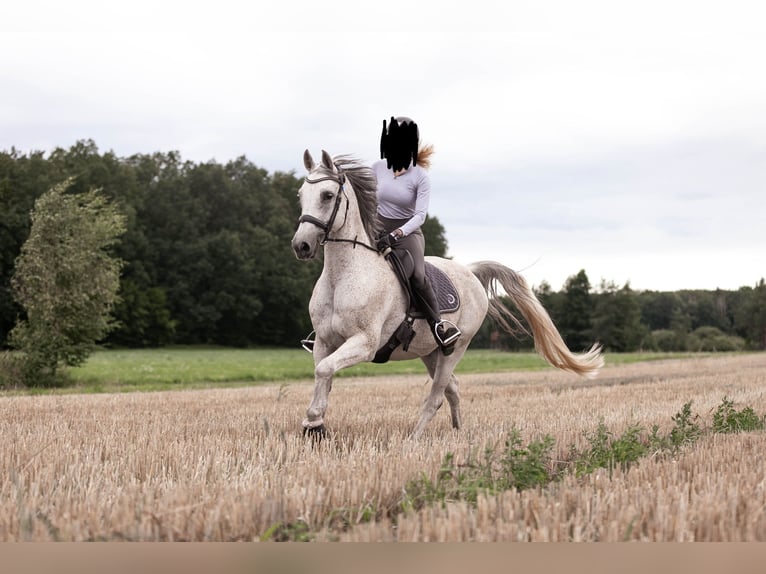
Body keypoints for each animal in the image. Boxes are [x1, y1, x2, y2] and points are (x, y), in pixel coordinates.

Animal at [292, 150, 604, 440]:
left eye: (327, 195)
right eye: (300, 195)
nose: (301, 246)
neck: (343, 276)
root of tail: (470, 271)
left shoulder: (364, 343)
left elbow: (324, 371)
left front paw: (314, 423)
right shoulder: (324, 341)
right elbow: (324, 374)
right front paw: (315, 426)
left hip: (457, 346)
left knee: (437, 394)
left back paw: (414, 438)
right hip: (430, 351)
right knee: (452, 388)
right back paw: (457, 432)